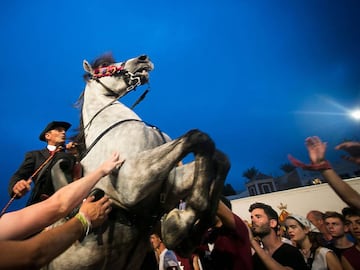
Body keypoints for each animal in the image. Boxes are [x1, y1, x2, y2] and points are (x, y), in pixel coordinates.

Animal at [46, 53, 231, 268]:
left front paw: (191, 228)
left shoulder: (169, 183)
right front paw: (177, 226)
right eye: (104, 67)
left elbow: (218, 157)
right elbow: (196, 138)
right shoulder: (132, 182)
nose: (143, 59)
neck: (113, 128)